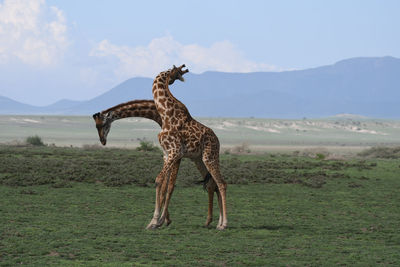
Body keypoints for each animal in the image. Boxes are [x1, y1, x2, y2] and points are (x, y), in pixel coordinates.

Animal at [92, 99, 220, 227]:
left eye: (102, 124)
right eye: (95, 126)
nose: (103, 141)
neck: (160, 115)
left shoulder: (176, 155)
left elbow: (169, 186)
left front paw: (161, 220)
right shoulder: (169, 154)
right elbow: (164, 186)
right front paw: (164, 220)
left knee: (214, 182)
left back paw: (213, 221)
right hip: (199, 160)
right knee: (212, 183)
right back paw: (210, 221)